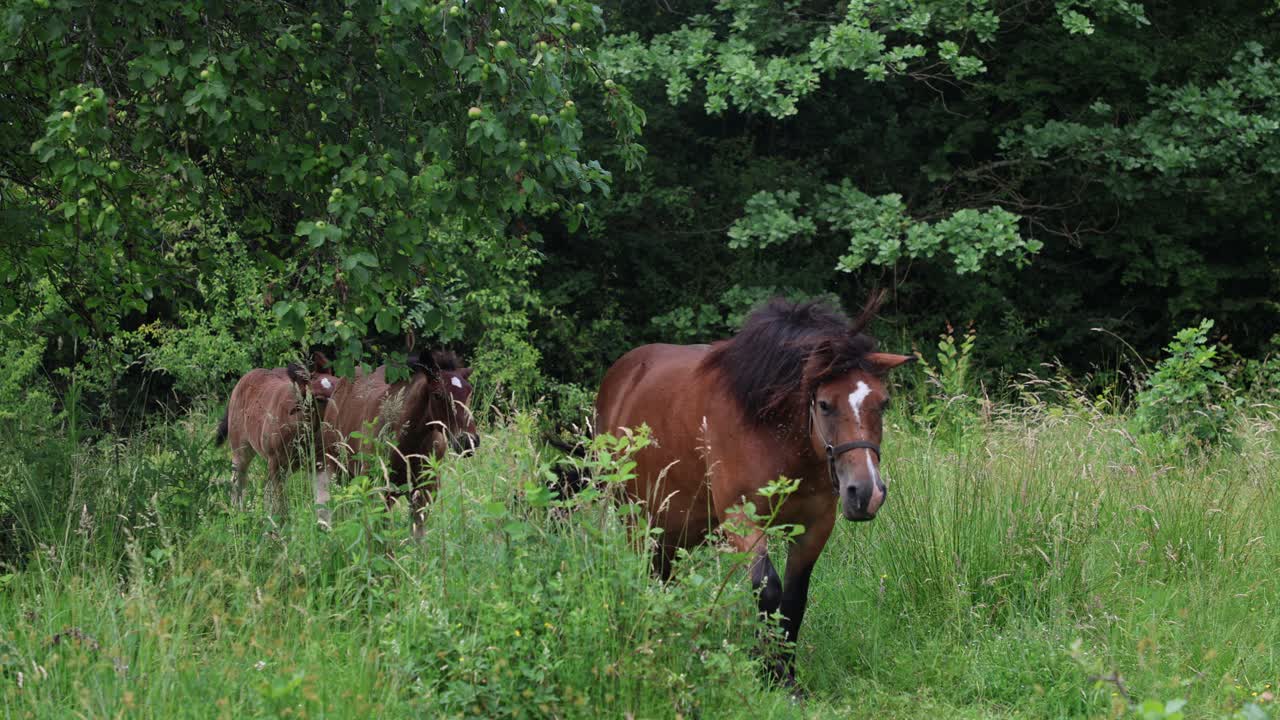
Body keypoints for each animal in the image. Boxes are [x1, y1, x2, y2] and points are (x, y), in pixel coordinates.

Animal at [216, 352, 339, 520]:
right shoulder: (276, 462)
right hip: (240, 450)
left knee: (266, 490)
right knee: (238, 483)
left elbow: (321, 500)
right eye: (319, 398)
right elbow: (281, 503)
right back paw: (237, 516)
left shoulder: (319, 461)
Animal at [318, 350, 478, 536]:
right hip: (337, 468)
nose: (469, 441)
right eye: (438, 394)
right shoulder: (378, 488)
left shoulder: (424, 491)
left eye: (469, 392)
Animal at [593, 295, 913, 686]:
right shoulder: (740, 520)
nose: (866, 493)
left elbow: (794, 597)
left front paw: (787, 675)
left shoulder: (815, 525)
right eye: (824, 404)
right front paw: (770, 670)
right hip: (637, 520)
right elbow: (768, 589)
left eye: (882, 403)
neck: (770, 428)